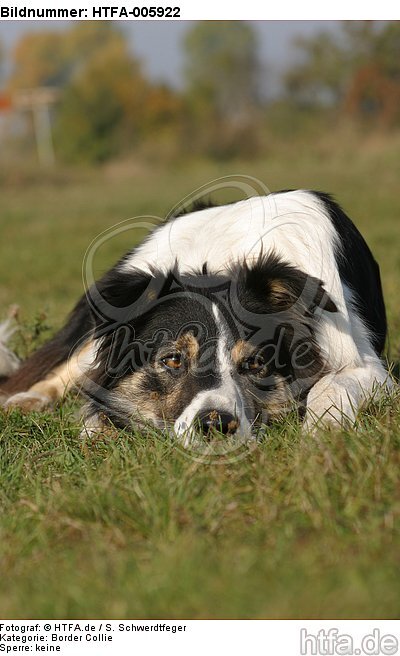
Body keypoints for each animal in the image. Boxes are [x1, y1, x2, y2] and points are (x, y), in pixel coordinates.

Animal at [0, 192, 392, 444]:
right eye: (173, 359)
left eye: (254, 364)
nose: (216, 425)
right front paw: (96, 427)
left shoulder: (371, 368)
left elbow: (331, 386)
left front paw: (321, 429)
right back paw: (25, 399)